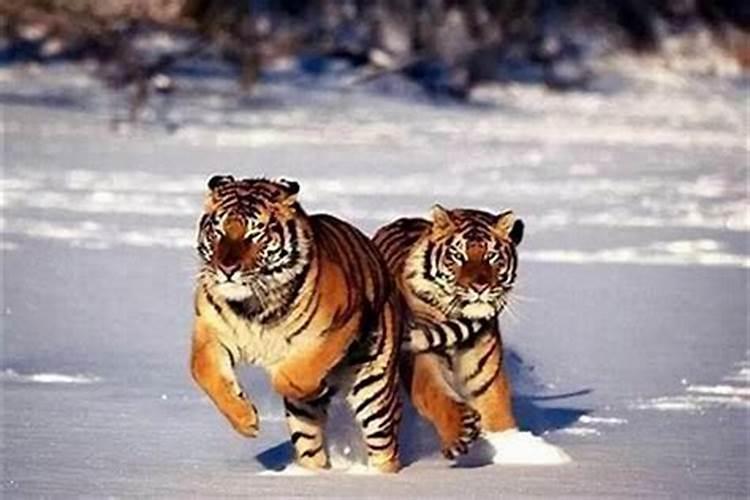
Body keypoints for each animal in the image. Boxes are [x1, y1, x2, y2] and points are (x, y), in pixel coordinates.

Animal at [190, 175, 405, 472]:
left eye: (255, 234)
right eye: (218, 231)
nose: (227, 268)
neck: (252, 306)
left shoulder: (338, 325)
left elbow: (293, 376)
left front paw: (310, 384)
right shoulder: (211, 333)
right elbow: (204, 372)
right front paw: (246, 420)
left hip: (375, 390)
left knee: (385, 446)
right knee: (310, 447)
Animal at [373, 205, 525, 459]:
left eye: (492, 256)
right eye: (458, 256)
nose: (480, 287)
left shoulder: (486, 382)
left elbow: (499, 417)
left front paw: (514, 448)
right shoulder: (422, 358)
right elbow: (436, 395)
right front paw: (460, 431)